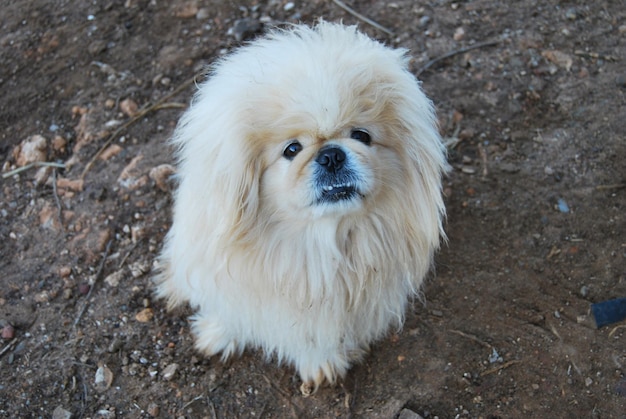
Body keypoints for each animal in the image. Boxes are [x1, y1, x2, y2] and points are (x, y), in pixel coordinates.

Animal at [156, 21, 448, 396]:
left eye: (362, 136)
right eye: (292, 149)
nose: (332, 155)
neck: (315, 241)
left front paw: (319, 362)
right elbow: (230, 307)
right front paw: (219, 333)